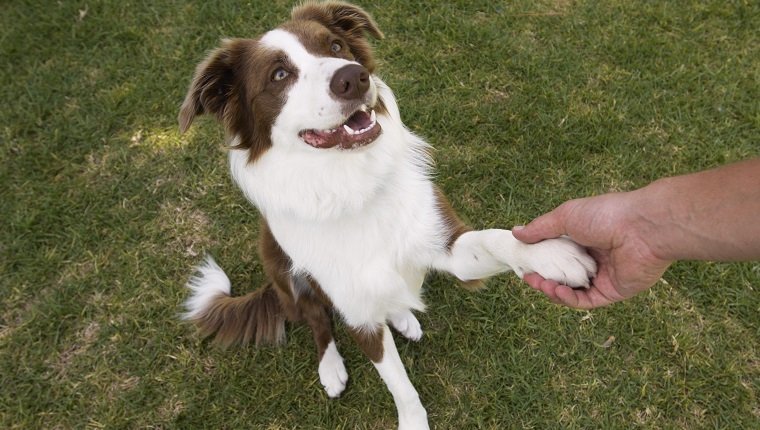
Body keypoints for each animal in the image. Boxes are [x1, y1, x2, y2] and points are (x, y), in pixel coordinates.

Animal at [181, 2, 596, 426]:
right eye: (279, 75)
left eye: (335, 45)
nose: (352, 77)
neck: (351, 187)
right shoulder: (358, 312)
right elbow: (398, 383)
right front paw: (412, 420)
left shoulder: (446, 244)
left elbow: (494, 237)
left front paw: (548, 253)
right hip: (280, 267)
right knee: (317, 320)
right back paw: (331, 366)